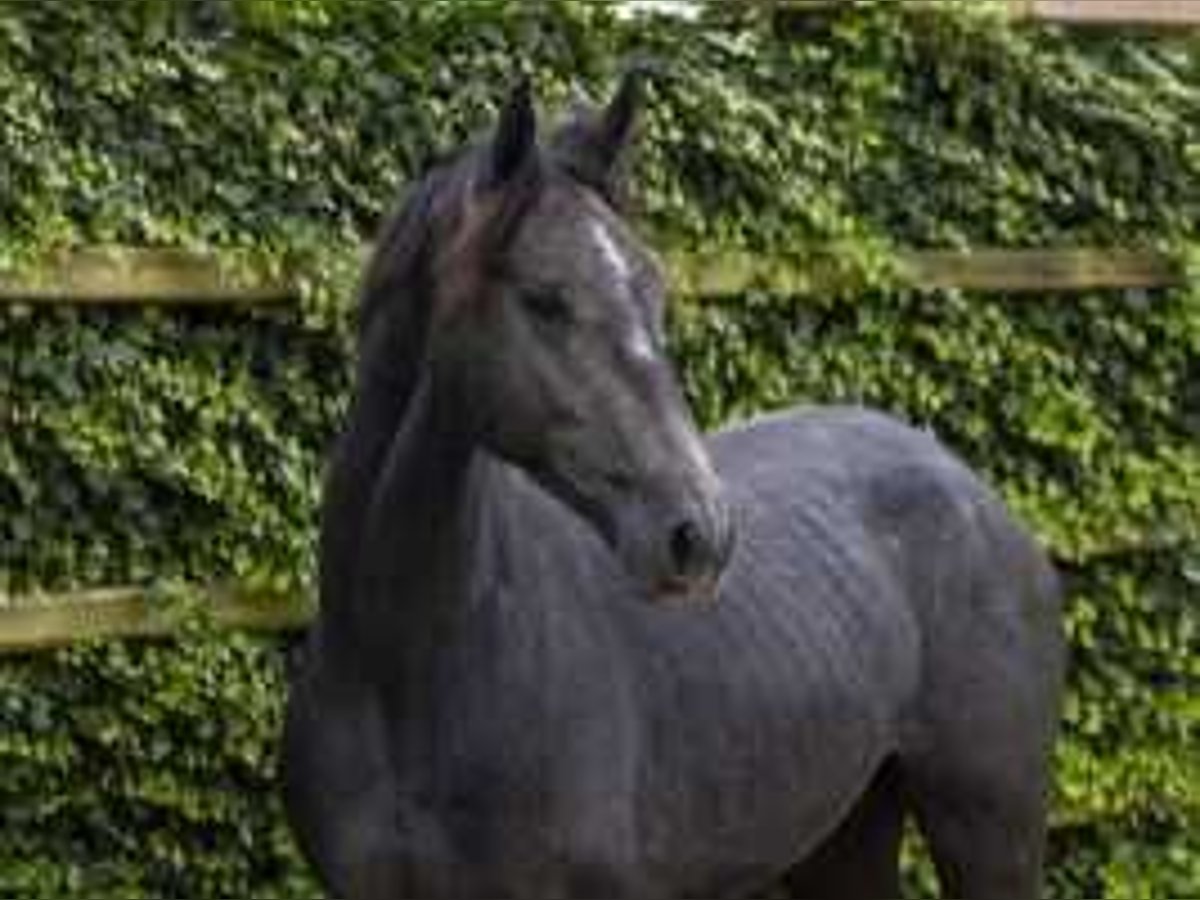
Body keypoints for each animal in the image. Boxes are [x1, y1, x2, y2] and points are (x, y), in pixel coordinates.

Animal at [283, 72, 1070, 900]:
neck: (405, 668)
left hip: (989, 830)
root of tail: (975, 493)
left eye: (656, 293)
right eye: (543, 298)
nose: (699, 535)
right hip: (847, 833)